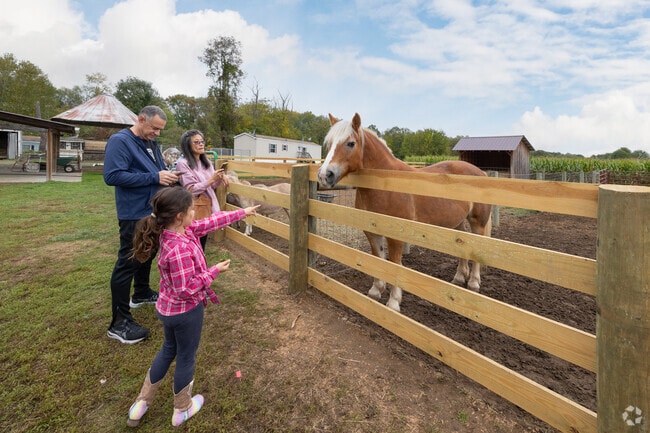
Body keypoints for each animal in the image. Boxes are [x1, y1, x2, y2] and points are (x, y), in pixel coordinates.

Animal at [317, 113, 492, 312]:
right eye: (329, 143)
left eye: (350, 143)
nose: (324, 175)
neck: (386, 184)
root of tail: (481, 173)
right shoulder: (372, 232)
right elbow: (378, 258)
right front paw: (376, 290)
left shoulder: (395, 236)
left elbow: (394, 264)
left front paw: (393, 302)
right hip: (457, 223)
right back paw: (459, 277)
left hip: (478, 222)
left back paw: (473, 282)